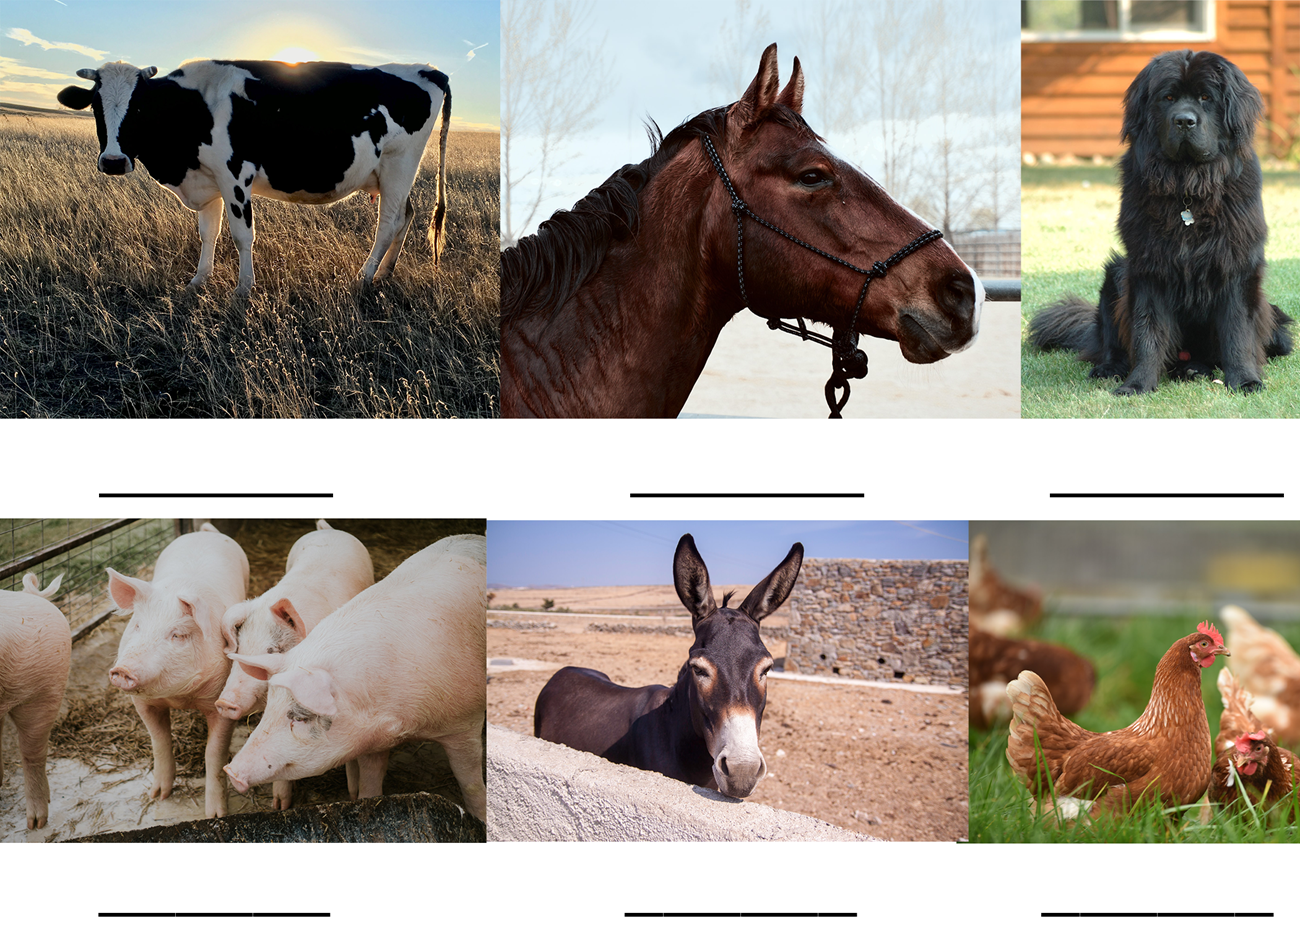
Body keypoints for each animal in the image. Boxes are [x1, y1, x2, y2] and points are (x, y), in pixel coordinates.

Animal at [57, 59, 451, 295]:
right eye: (95, 105)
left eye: (139, 106)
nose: (113, 161)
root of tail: (428, 70)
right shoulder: (209, 180)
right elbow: (208, 233)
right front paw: (198, 280)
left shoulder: (234, 175)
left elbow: (242, 235)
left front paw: (243, 289)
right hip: (392, 174)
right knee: (406, 216)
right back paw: (384, 274)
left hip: (400, 164)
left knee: (388, 223)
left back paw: (363, 277)